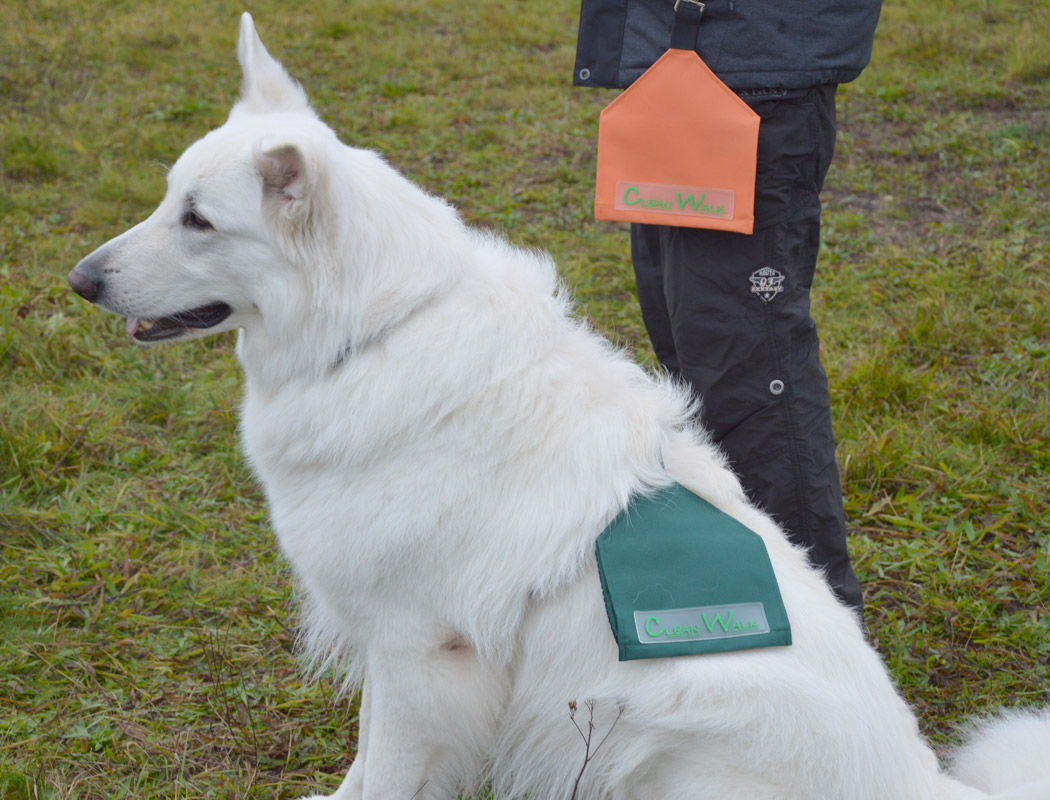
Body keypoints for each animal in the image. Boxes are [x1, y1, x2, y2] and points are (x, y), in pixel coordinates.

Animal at [69, 14, 1045, 797]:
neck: (378, 330)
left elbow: (384, 772)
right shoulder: (393, 650)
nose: (80, 281)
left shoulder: (421, 653)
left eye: (200, 221)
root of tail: (925, 786)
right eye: (169, 198)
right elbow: (364, 760)